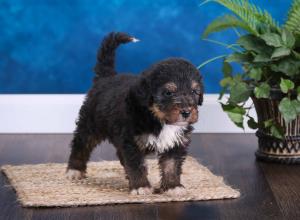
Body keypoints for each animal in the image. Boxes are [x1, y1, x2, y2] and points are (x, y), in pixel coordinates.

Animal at [66, 31, 204, 195]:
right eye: (169, 92)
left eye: (195, 91)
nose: (186, 112)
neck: (158, 118)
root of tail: (107, 77)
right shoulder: (131, 141)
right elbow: (136, 164)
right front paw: (140, 186)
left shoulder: (175, 143)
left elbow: (171, 165)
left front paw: (172, 186)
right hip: (90, 124)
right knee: (81, 144)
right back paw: (74, 170)